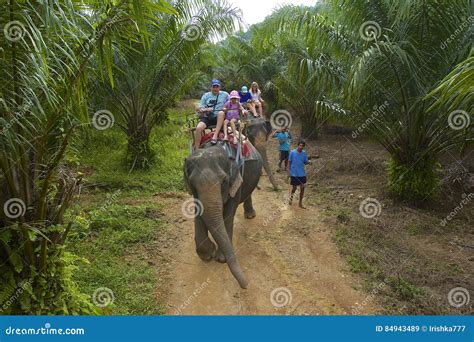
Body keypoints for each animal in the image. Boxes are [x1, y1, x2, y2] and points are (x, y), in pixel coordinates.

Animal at [183, 142, 262, 288]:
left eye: (224, 181)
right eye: (192, 183)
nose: (246, 285)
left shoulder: (236, 181)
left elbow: (229, 213)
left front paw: (221, 259)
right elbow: (199, 211)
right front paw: (207, 254)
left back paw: (250, 216)